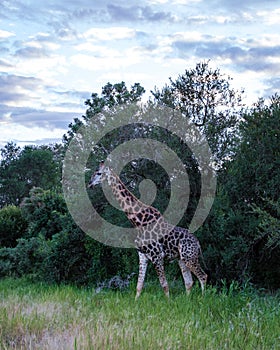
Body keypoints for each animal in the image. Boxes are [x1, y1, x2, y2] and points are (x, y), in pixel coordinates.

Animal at [88, 161, 208, 298]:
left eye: (99, 173)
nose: (90, 184)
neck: (138, 222)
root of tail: (197, 243)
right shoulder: (142, 255)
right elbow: (139, 285)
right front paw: (136, 301)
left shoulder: (157, 255)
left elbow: (164, 285)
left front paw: (168, 301)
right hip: (181, 259)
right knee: (189, 282)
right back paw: (187, 300)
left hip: (189, 257)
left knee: (203, 276)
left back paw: (203, 299)